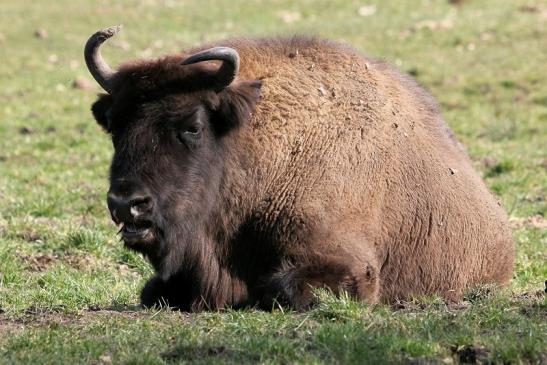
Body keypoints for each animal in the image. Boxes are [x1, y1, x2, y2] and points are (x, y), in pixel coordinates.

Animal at [83, 25, 516, 310]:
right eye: (116, 125)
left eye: (192, 125)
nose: (126, 203)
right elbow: (154, 291)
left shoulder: (352, 266)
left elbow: (284, 287)